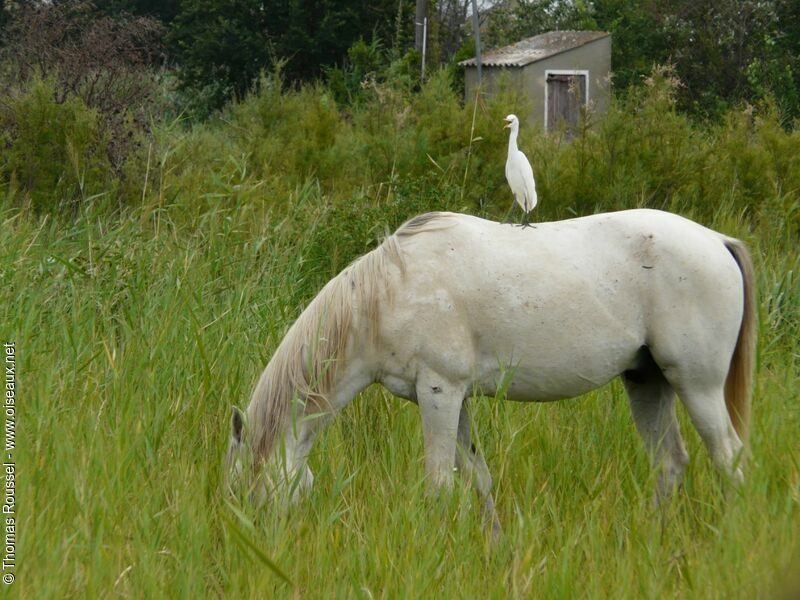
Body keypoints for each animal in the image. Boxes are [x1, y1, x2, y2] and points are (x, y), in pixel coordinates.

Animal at [227, 209, 756, 528]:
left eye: (248, 490)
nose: (267, 542)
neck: (386, 295)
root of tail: (716, 240)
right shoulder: (454, 400)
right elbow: (478, 479)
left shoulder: (439, 393)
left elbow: (439, 484)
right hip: (647, 383)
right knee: (670, 463)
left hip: (697, 385)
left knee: (730, 459)